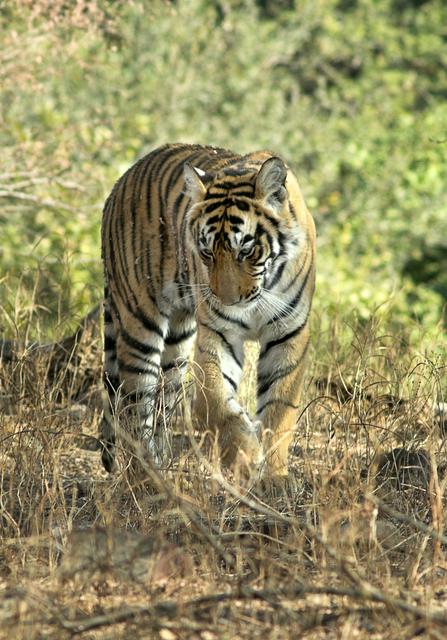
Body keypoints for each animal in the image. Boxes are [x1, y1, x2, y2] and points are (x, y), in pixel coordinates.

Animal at [100, 141, 318, 480]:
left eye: (246, 250)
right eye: (206, 252)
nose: (227, 300)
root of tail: (119, 183)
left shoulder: (288, 332)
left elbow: (279, 410)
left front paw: (275, 477)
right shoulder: (219, 334)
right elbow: (216, 406)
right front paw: (247, 460)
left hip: (178, 342)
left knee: (163, 400)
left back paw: (162, 464)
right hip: (139, 321)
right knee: (135, 406)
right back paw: (147, 477)